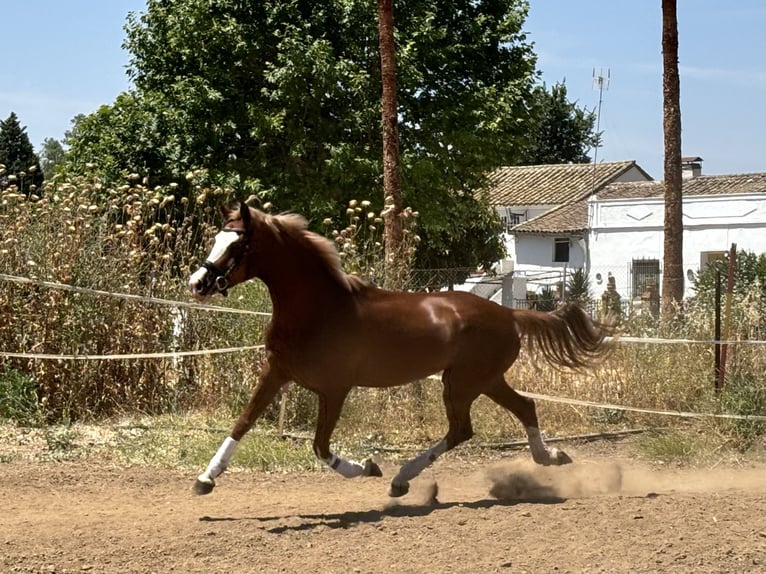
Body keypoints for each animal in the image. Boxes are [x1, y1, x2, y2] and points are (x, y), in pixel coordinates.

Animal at [194, 204, 616, 500]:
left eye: (238, 243)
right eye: (216, 238)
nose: (198, 283)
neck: (319, 309)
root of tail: (510, 313)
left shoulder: (334, 389)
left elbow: (320, 446)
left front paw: (368, 467)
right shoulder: (277, 372)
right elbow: (243, 422)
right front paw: (205, 479)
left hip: (463, 383)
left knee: (464, 429)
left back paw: (400, 478)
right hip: (484, 380)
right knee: (522, 408)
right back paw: (551, 457)